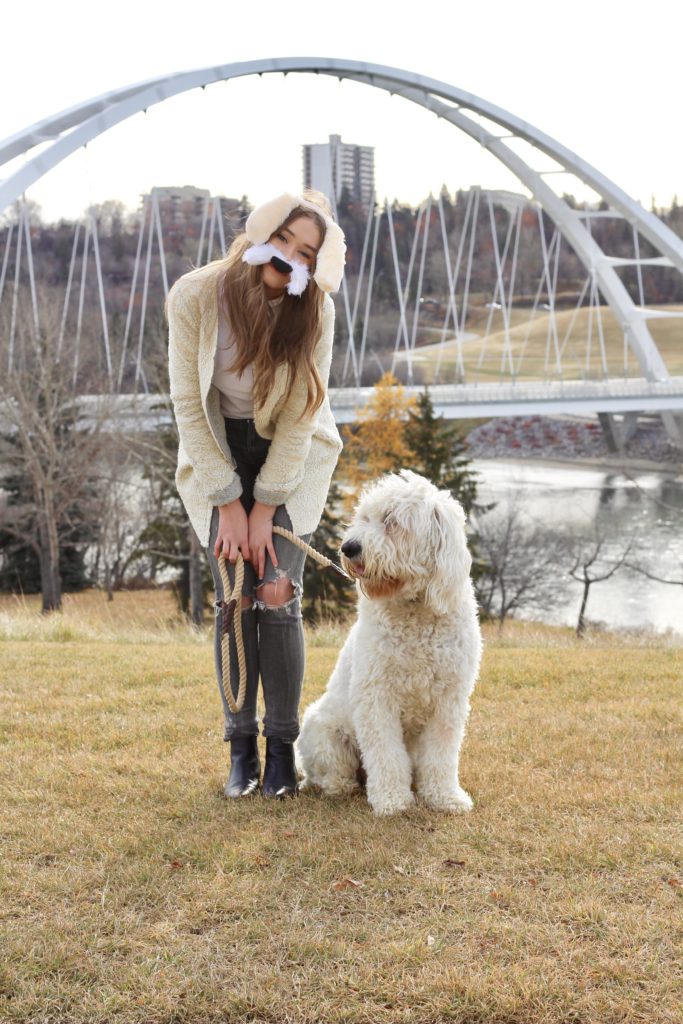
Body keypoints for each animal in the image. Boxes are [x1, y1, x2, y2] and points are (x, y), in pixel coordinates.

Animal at [296, 468, 483, 815]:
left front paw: (445, 796)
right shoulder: (377, 697)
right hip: (322, 730)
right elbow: (386, 755)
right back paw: (339, 785)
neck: (415, 610)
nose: (349, 547)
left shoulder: (448, 702)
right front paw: (392, 800)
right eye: (364, 517)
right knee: (329, 772)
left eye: (391, 521)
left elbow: (441, 756)